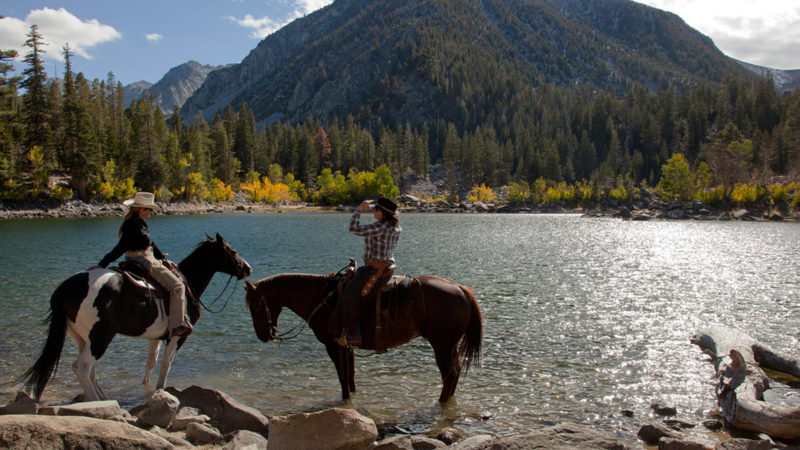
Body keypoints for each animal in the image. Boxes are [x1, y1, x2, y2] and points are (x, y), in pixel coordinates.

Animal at [23, 234, 250, 400]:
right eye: (232, 251)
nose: (248, 268)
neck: (187, 283)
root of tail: (64, 288)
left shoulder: (156, 337)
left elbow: (151, 362)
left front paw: (147, 387)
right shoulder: (177, 336)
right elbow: (166, 364)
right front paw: (160, 389)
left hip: (82, 338)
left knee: (91, 370)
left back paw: (103, 397)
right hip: (100, 336)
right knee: (82, 367)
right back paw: (96, 401)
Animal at [242, 262, 482, 402]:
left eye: (254, 304)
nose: (263, 335)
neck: (322, 297)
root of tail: (461, 289)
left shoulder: (332, 345)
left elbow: (342, 377)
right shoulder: (346, 346)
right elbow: (350, 376)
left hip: (442, 345)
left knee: (449, 373)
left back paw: (441, 402)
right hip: (449, 346)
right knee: (455, 372)